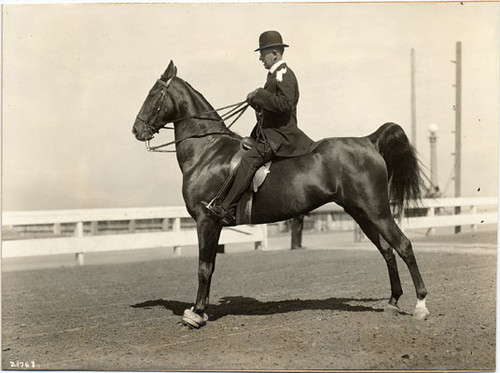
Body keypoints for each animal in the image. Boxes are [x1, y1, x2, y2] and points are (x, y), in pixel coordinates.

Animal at [133, 59, 430, 326]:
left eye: (152, 94)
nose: (136, 130)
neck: (207, 151)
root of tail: (368, 141)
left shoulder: (206, 220)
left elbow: (203, 268)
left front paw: (195, 314)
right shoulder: (213, 225)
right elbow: (211, 266)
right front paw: (202, 310)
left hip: (376, 211)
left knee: (403, 246)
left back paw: (421, 306)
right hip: (361, 213)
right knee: (387, 250)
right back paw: (393, 302)